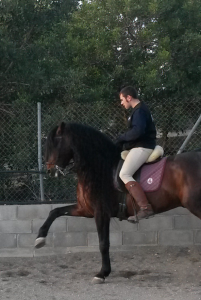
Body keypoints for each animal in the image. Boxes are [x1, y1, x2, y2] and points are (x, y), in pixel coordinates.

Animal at [35, 122, 201, 284]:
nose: (50, 171)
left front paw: (102, 273)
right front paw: (40, 239)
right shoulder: (85, 209)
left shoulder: (101, 213)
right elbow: (54, 211)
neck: (100, 168)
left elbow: (103, 243)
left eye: (55, 143)